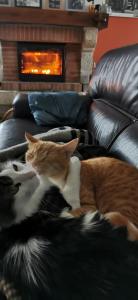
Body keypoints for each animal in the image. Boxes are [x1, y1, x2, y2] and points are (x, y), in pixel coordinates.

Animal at [0, 162, 138, 300]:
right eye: (15, 188)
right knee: (118, 217)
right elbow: (71, 188)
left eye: (15, 167)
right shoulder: (68, 207)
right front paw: (74, 162)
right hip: (94, 221)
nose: (33, 173)